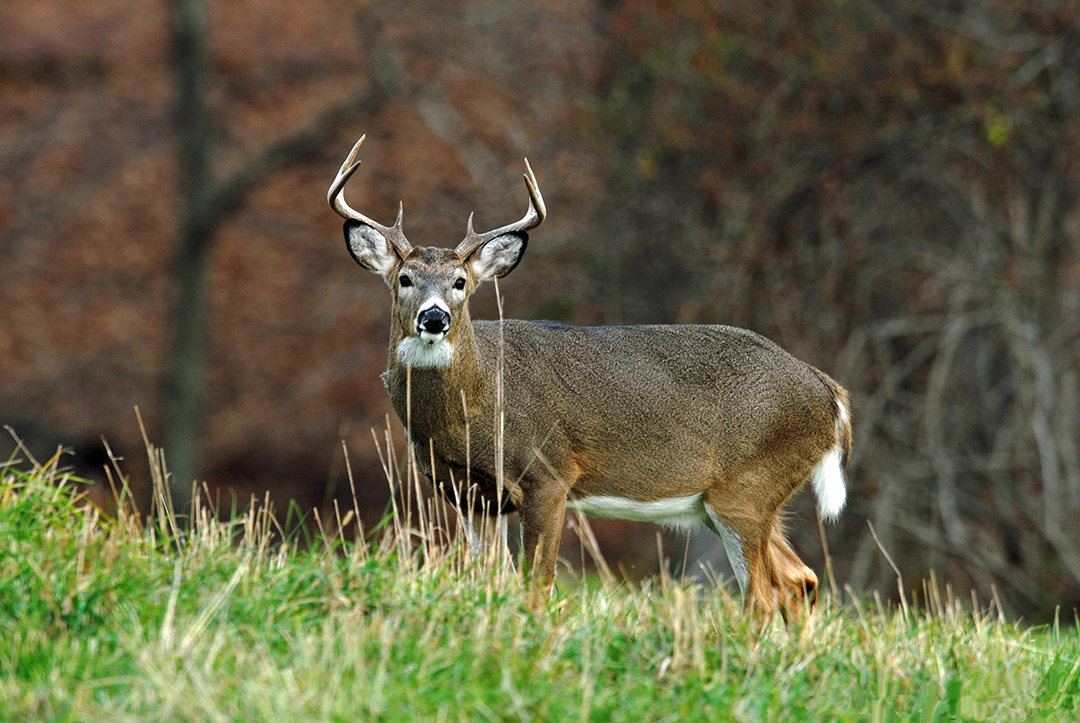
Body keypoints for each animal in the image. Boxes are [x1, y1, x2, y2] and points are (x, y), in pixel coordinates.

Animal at [328, 135, 851, 622]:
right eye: (404, 279)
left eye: (460, 282)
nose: (434, 318)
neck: (473, 405)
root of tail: (831, 395)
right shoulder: (467, 492)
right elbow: (485, 578)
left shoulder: (549, 473)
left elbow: (536, 586)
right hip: (726, 502)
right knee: (799, 579)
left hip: (749, 487)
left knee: (764, 594)